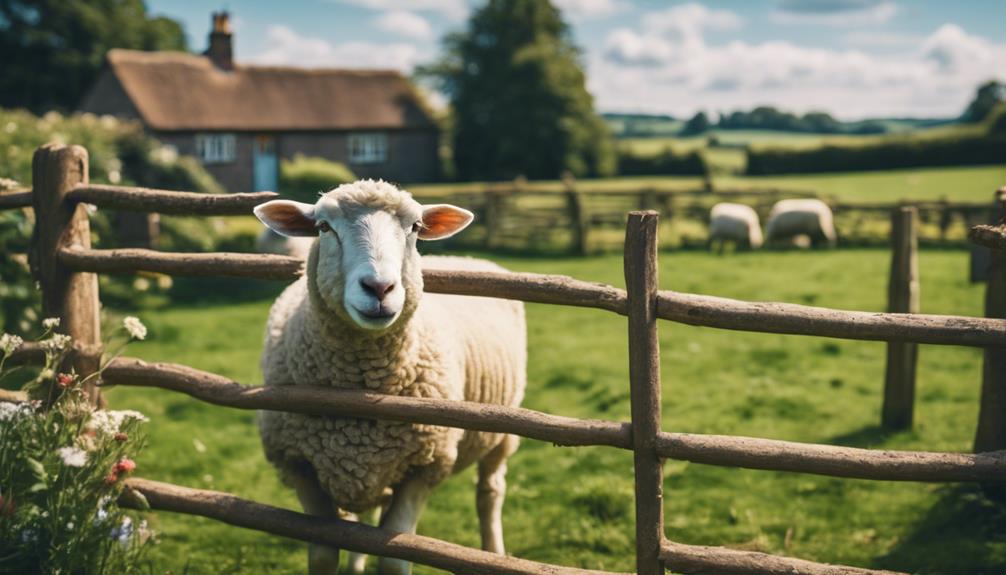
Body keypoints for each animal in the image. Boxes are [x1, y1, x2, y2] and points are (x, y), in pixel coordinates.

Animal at [253, 180, 527, 575]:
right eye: (323, 227)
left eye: (415, 227)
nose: (379, 288)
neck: (360, 393)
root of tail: (473, 260)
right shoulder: (298, 464)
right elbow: (324, 554)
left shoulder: (425, 467)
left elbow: (395, 559)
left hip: (502, 432)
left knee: (489, 492)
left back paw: (493, 552)